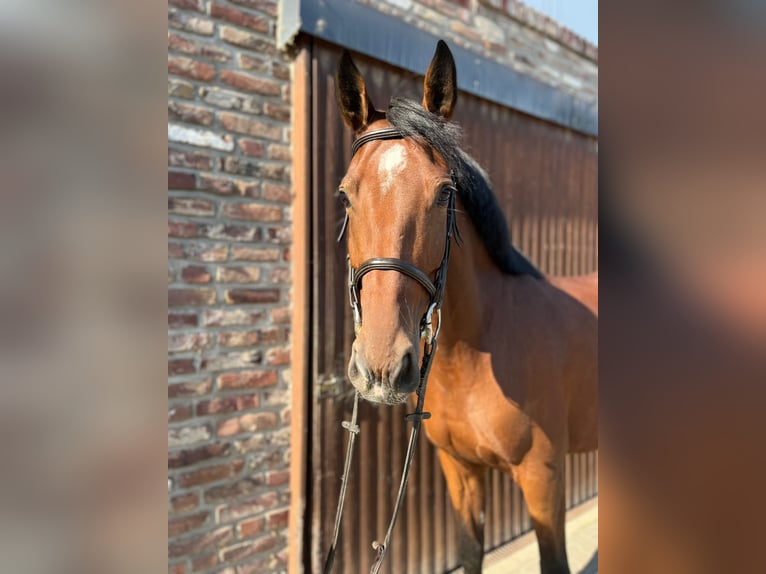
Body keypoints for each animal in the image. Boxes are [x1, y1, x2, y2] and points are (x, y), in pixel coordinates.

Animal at [336, 41, 600, 574]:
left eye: (444, 193)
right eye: (346, 195)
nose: (381, 366)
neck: (477, 353)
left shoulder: (544, 477)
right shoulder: (461, 471)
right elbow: (468, 552)